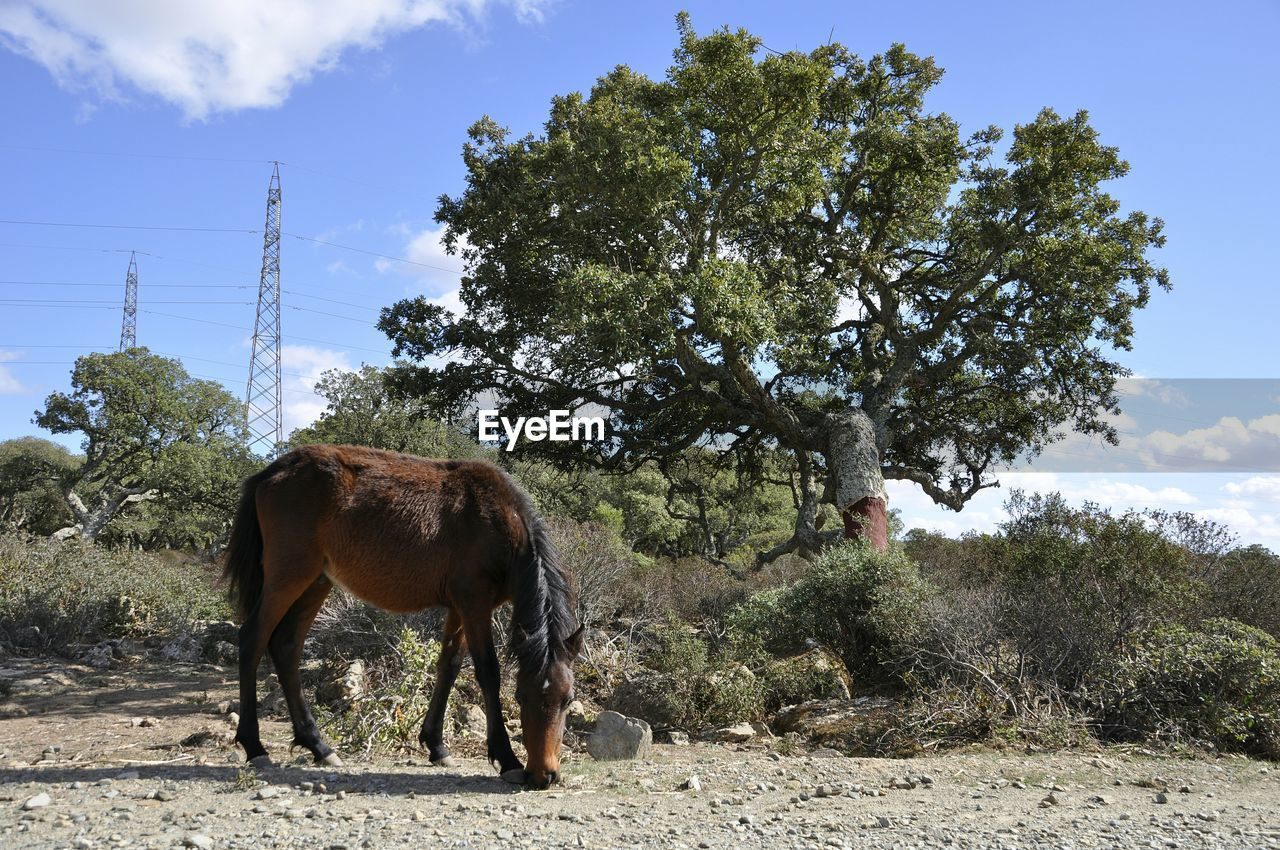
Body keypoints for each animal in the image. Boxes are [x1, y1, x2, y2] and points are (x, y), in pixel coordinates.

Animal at [220, 445, 581, 788]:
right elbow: (487, 672)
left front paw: (436, 745)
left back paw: (318, 746)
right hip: (288, 576)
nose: (544, 775)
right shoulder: (475, 605)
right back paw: (255, 746)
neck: (497, 519)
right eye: (521, 696)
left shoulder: (460, 608)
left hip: (316, 581)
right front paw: (507, 758)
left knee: (286, 646)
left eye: (567, 700)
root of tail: (273, 471)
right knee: (252, 639)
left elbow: (448, 666)